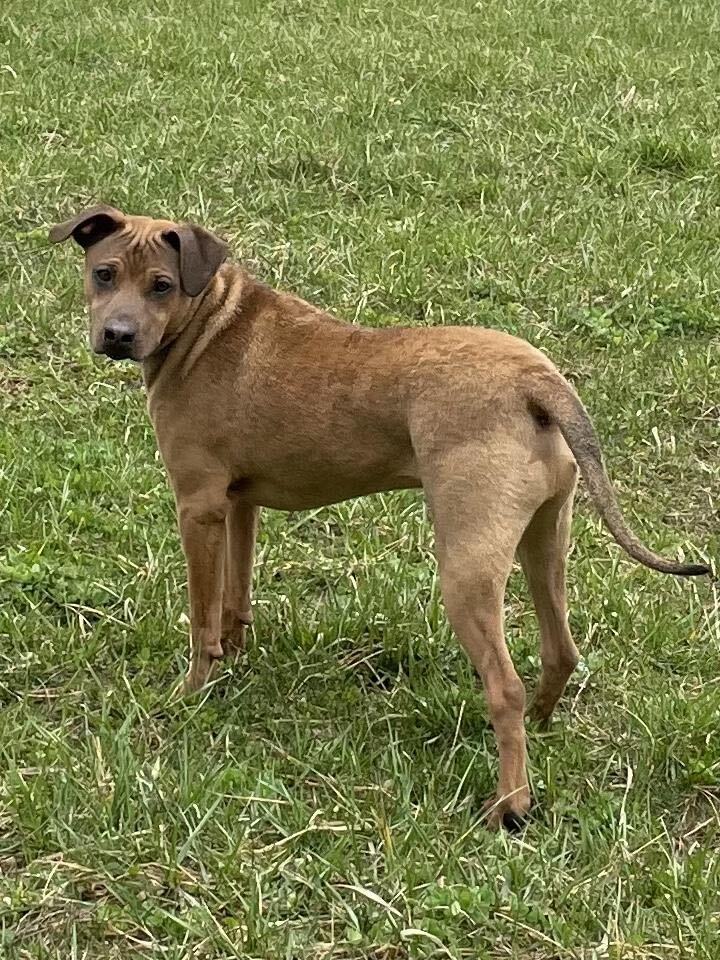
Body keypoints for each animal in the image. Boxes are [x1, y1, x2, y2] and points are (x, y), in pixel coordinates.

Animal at [49, 206, 708, 828]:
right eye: (104, 273)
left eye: (161, 285)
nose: (116, 334)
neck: (209, 325)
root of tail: (538, 382)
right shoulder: (238, 505)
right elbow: (234, 598)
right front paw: (233, 659)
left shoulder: (198, 507)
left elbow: (201, 619)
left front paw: (192, 692)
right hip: (545, 540)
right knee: (560, 650)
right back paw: (542, 729)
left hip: (465, 566)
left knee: (506, 687)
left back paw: (510, 803)